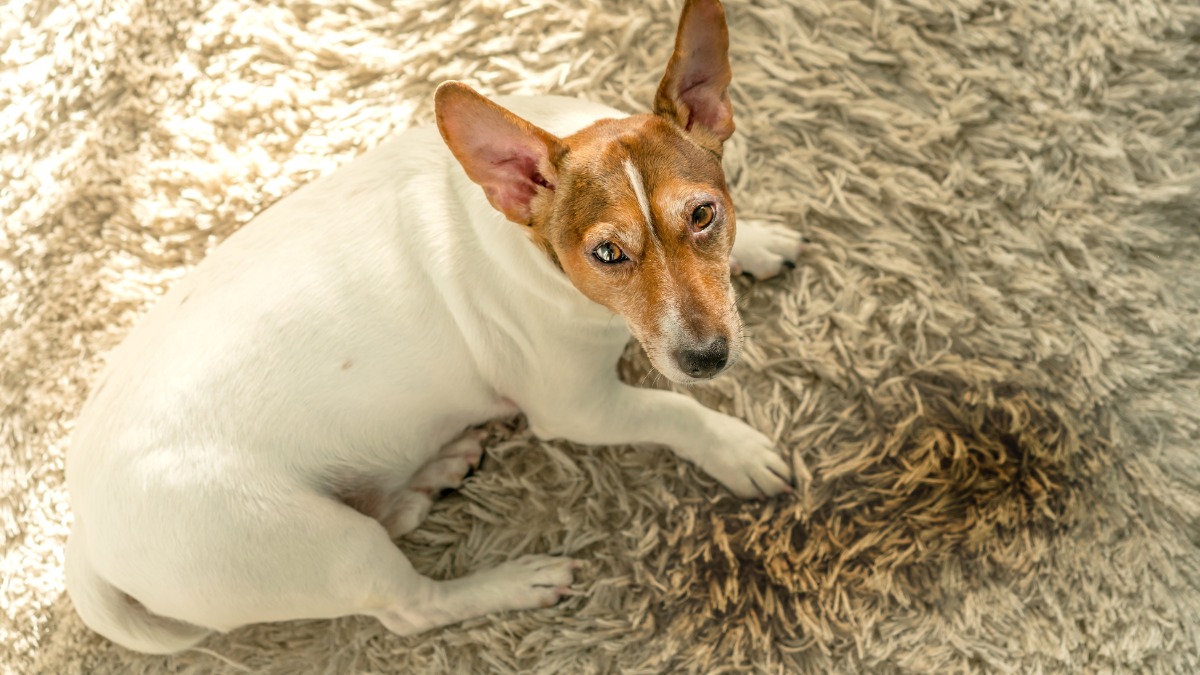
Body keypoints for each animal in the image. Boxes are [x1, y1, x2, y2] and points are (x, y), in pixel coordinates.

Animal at [63, 0, 796, 653]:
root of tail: (83, 543)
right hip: (323, 546)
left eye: (703, 215)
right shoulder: (578, 409)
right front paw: (735, 448)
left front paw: (758, 241)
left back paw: (432, 473)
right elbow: (676, 412)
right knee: (413, 608)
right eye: (608, 254)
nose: (707, 357)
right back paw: (512, 581)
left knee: (393, 521)